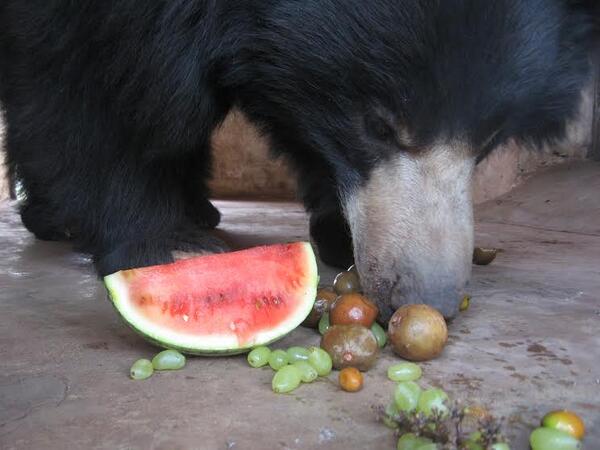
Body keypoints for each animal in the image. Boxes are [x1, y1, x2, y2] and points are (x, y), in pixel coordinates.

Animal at [0, 0, 597, 319]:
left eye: (489, 137)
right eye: (377, 125)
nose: (428, 300)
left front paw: (336, 232)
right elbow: (91, 83)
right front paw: (165, 248)